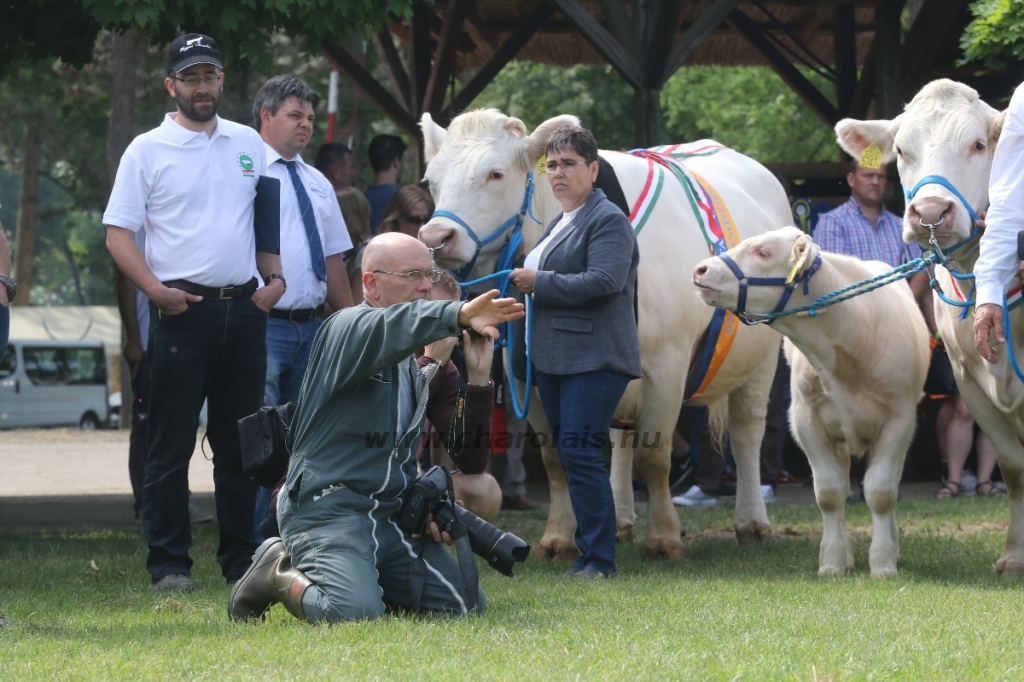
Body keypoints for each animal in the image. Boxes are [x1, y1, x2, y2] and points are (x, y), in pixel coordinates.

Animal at [419, 109, 786, 557]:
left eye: (496, 174)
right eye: (431, 180)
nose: (436, 238)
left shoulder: (668, 365)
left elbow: (655, 456)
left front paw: (664, 538)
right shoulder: (528, 375)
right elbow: (557, 458)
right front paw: (559, 538)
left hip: (762, 358)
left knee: (747, 433)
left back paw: (752, 523)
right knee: (620, 438)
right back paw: (621, 520)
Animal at [696, 227, 929, 573]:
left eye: (763, 253)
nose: (700, 269)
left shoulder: (899, 421)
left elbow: (881, 491)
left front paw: (883, 563)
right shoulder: (808, 422)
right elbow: (830, 493)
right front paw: (831, 562)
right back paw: (847, 554)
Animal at [835, 76, 1024, 569]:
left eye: (978, 145)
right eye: (901, 150)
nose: (931, 213)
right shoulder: (969, 380)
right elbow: (1014, 468)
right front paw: (1015, 556)